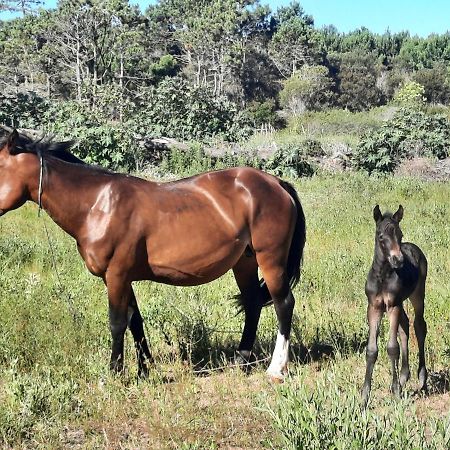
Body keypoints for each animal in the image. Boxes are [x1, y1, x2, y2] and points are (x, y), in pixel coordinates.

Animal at [0, 130, 306, 380]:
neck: (97, 204)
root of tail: (276, 183)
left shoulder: (116, 275)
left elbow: (117, 322)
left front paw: (115, 373)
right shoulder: (121, 278)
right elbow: (135, 322)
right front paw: (145, 369)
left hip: (271, 260)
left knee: (283, 304)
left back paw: (275, 369)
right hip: (244, 262)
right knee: (253, 303)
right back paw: (241, 362)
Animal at [360, 206, 428, 410]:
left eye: (400, 234)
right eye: (381, 236)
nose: (398, 260)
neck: (383, 276)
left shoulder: (392, 306)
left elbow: (392, 347)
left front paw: (396, 394)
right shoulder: (374, 307)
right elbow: (372, 350)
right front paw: (364, 398)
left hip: (417, 294)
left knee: (419, 326)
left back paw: (422, 380)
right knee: (405, 326)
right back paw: (404, 377)